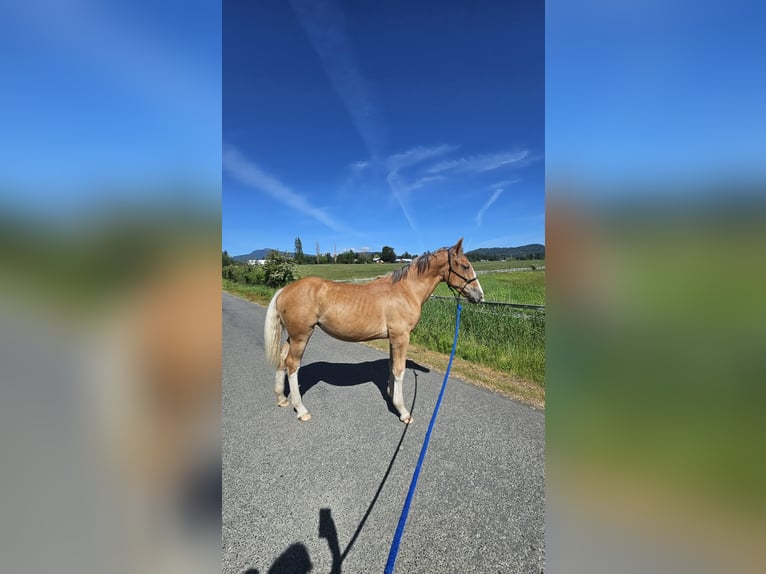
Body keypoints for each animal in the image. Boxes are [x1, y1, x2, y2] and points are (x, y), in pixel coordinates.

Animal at [263, 238, 484, 423]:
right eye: (465, 266)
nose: (479, 296)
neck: (405, 291)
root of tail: (285, 290)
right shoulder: (401, 337)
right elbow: (399, 370)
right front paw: (403, 412)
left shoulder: (393, 338)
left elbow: (391, 366)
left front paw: (391, 395)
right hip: (301, 336)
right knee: (292, 365)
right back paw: (301, 410)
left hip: (292, 336)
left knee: (282, 359)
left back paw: (282, 398)